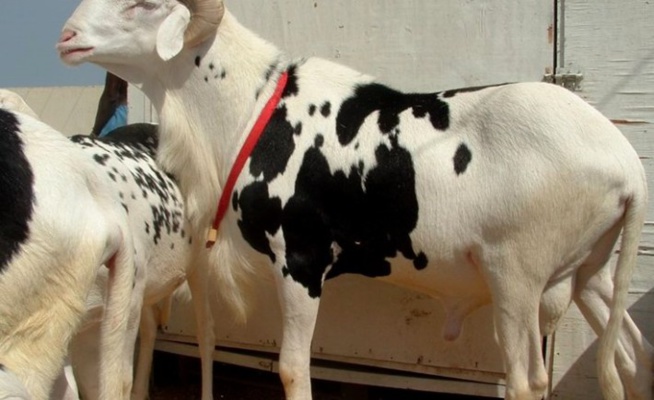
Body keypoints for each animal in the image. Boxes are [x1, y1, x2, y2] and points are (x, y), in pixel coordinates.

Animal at [58, 1, 653, 399]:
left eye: (145, 3)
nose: (66, 35)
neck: (254, 108)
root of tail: (627, 165)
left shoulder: (301, 259)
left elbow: (292, 368)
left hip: (517, 274)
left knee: (528, 379)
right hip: (591, 272)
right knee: (628, 357)